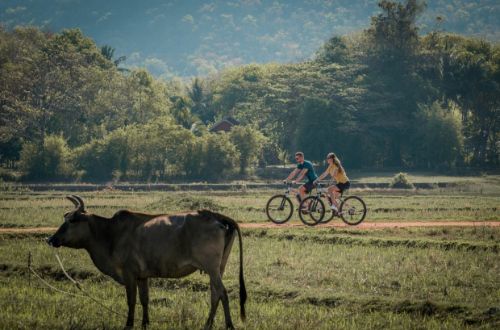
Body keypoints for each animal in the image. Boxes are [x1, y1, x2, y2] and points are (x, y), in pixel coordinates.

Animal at [47, 195, 247, 328]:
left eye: (72, 220)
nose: (51, 239)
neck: (110, 234)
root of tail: (213, 215)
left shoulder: (129, 274)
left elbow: (131, 300)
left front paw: (129, 324)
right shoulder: (143, 276)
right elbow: (145, 300)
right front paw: (145, 323)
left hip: (211, 267)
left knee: (223, 293)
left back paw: (229, 325)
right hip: (218, 268)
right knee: (215, 294)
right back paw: (208, 324)